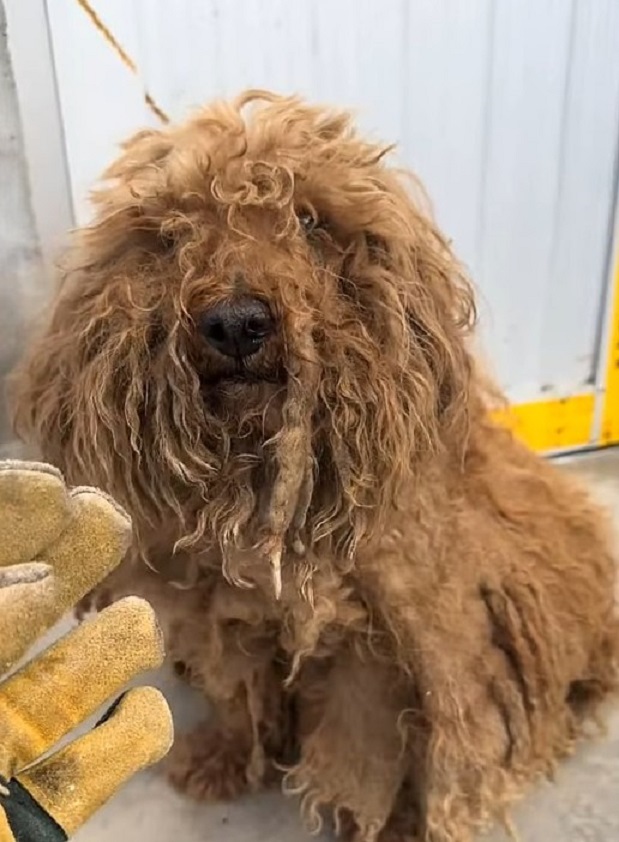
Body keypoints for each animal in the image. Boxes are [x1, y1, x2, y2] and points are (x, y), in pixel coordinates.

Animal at [10, 92, 619, 840]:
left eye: (308, 221)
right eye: (174, 232)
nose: (236, 322)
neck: (266, 494)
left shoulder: (380, 643)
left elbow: (371, 749)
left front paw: (385, 821)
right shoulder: (223, 611)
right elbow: (235, 690)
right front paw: (224, 758)